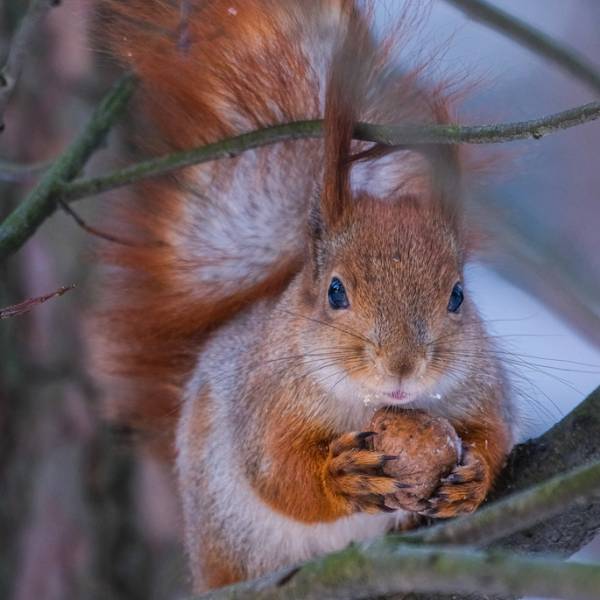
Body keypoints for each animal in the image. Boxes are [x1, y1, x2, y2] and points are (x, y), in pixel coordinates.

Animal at [95, 0, 516, 592]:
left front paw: (473, 476)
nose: (402, 366)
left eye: (458, 295)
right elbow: (278, 473)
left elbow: (497, 433)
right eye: (335, 291)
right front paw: (340, 476)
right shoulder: (263, 401)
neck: (373, 403)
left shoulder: (483, 387)